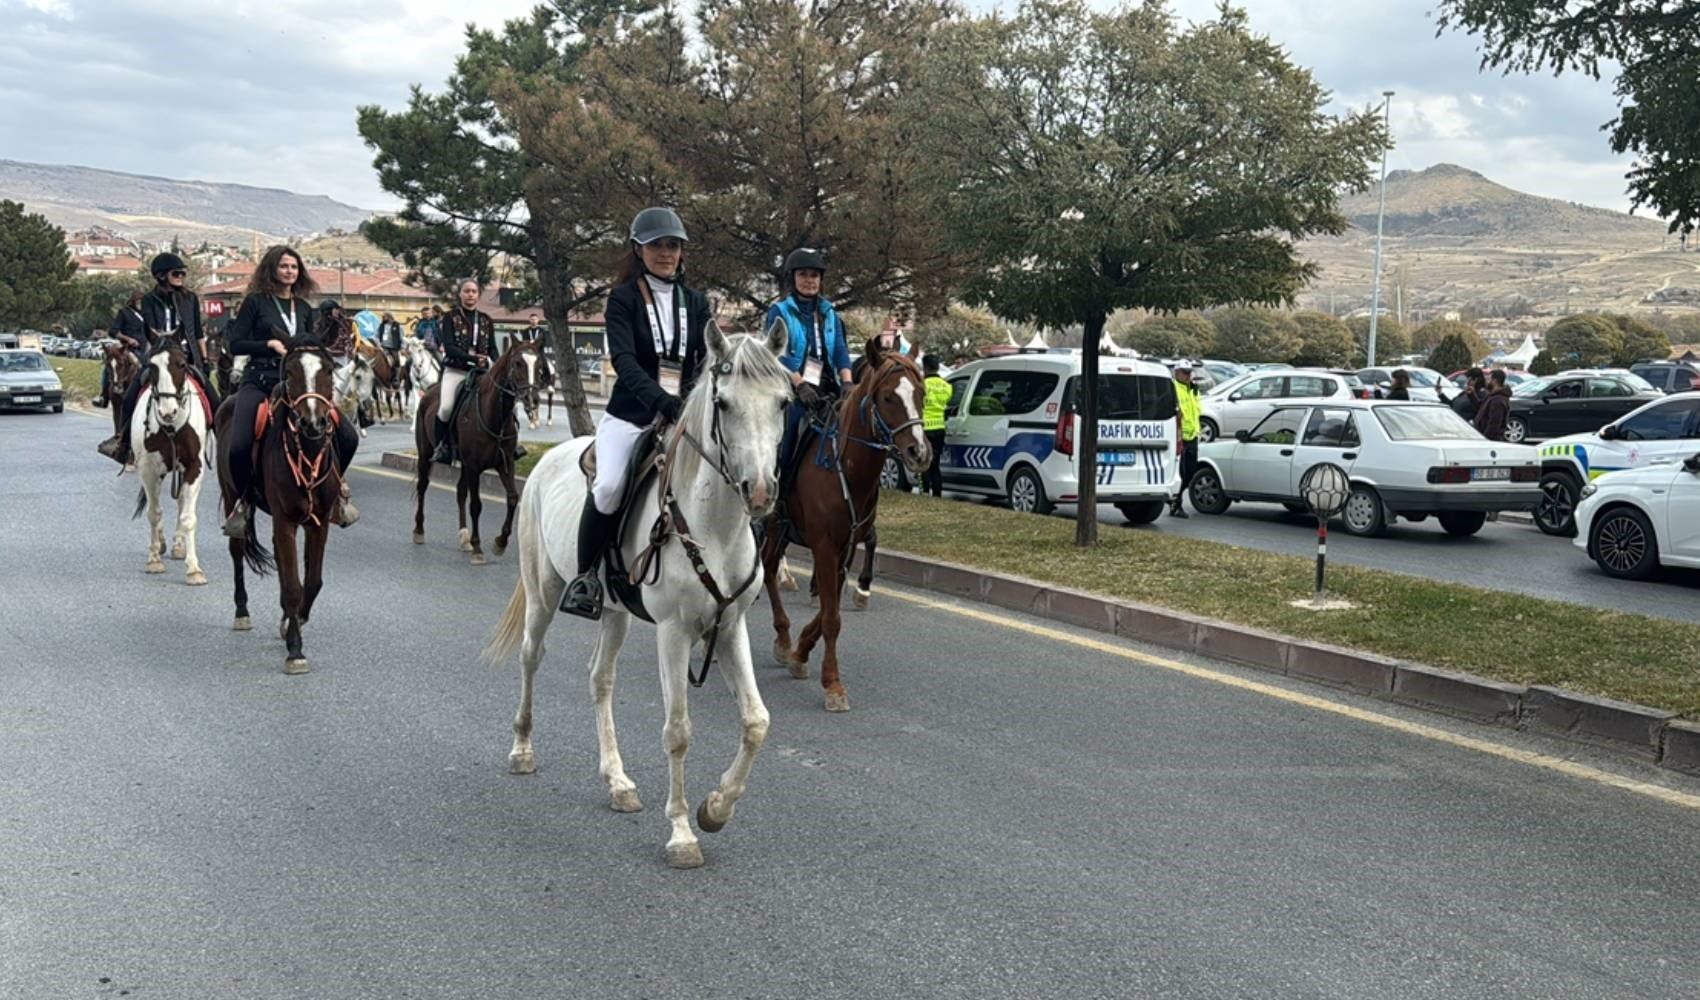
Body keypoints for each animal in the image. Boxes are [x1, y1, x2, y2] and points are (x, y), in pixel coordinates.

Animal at [215, 346, 341, 676]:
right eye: (291, 372)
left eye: (328, 370)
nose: (313, 422)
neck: (306, 454)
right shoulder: (285, 521)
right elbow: (293, 586)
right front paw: (295, 651)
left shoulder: (318, 522)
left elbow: (311, 580)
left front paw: (292, 622)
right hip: (231, 494)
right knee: (237, 551)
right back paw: (242, 611)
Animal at [408, 340, 533, 568]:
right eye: (518, 363)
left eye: (537, 362)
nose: (531, 397)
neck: (495, 417)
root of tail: (430, 391)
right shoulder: (475, 466)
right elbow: (476, 505)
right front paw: (478, 548)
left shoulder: (505, 463)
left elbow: (512, 498)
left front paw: (500, 542)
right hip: (425, 454)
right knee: (423, 486)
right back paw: (419, 530)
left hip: (465, 464)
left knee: (460, 491)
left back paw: (464, 537)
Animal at [482, 321, 792, 867]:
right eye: (724, 403)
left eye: (782, 402)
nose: (759, 491)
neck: (714, 528)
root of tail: (551, 457)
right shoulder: (674, 633)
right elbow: (678, 731)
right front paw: (682, 832)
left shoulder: (727, 629)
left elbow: (757, 721)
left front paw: (717, 808)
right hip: (543, 594)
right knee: (530, 656)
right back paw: (522, 749)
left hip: (614, 613)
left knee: (600, 679)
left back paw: (617, 781)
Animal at [765, 338, 938, 710]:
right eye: (887, 397)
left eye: (921, 393)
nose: (919, 452)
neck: (844, 466)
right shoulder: (824, 545)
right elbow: (832, 618)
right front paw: (832, 684)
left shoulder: (844, 547)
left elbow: (829, 608)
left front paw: (800, 651)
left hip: (780, 530)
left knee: (769, 569)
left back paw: (783, 638)